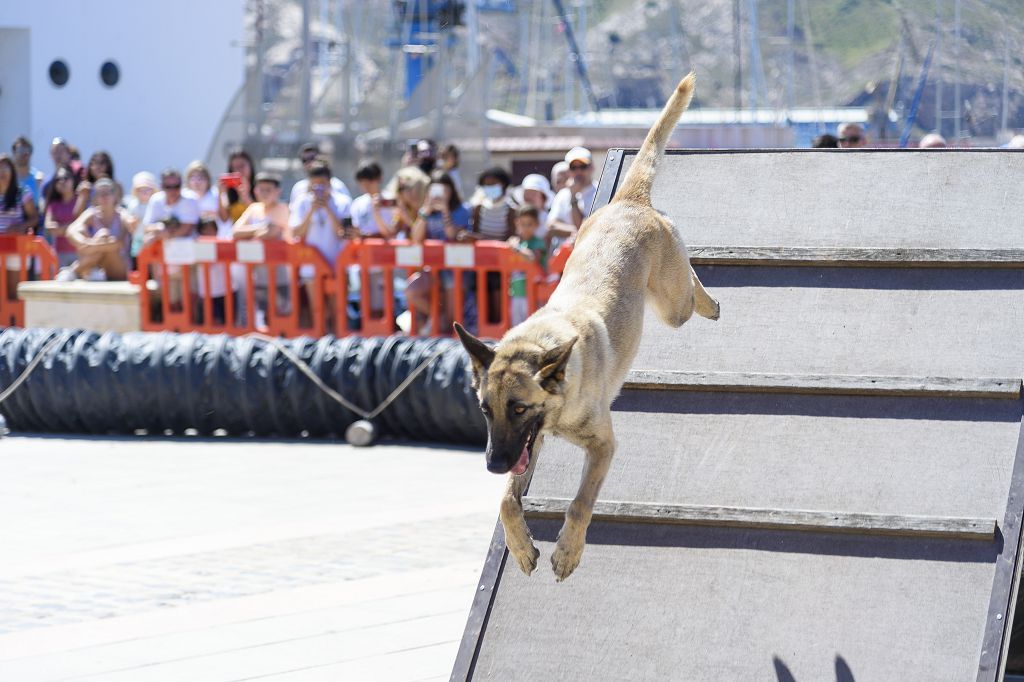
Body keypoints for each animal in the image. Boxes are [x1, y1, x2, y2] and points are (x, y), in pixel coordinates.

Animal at [456, 73, 720, 577]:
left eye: (518, 407)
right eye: (484, 410)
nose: (493, 465)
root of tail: (629, 201)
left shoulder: (601, 446)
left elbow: (580, 503)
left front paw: (567, 551)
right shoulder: (530, 444)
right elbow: (506, 501)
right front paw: (521, 547)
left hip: (671, 305)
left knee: (689, 284)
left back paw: (710, 302)